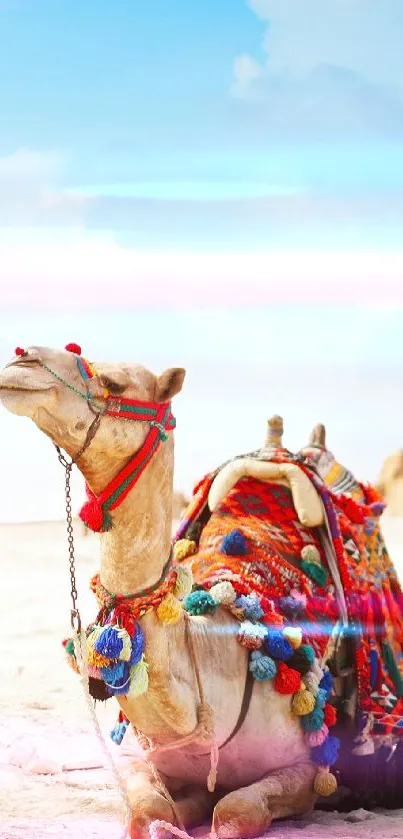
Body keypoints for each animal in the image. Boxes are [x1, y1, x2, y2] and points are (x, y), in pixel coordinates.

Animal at [0, 344, 403, 836]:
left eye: (114, 383)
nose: (22, 360)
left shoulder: (308, 770)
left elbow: (234, 809)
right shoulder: (143, 759)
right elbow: (149, 811)